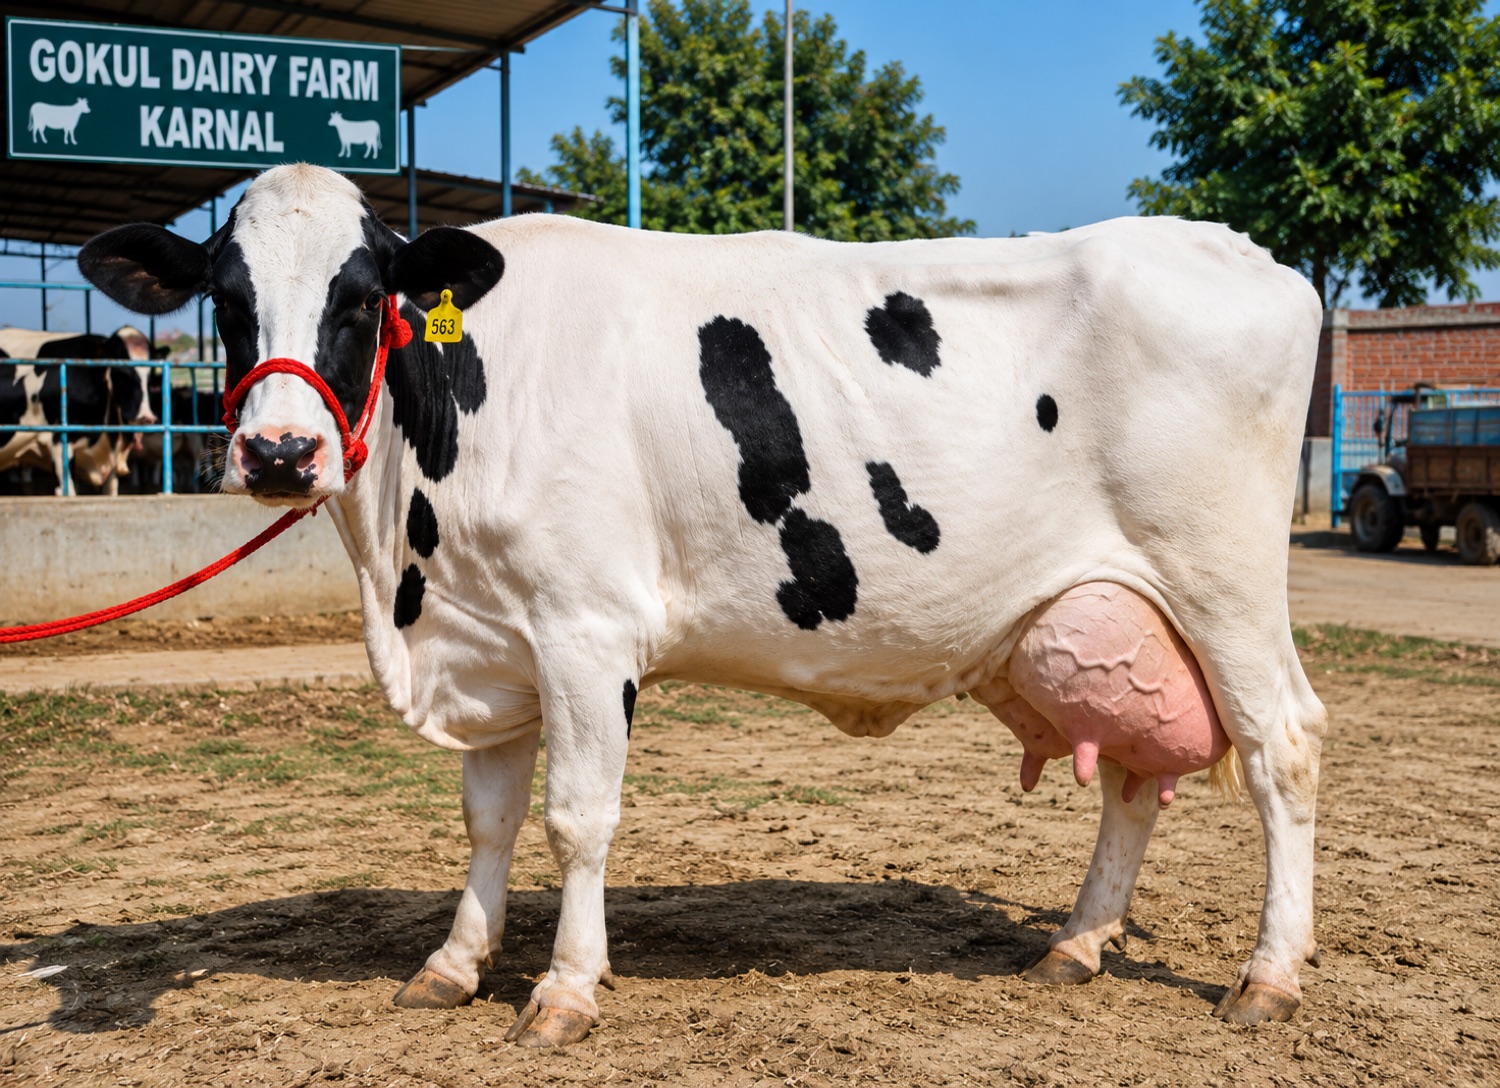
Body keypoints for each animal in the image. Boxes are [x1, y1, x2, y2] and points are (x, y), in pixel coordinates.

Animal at [78, 163, 1328, 1047]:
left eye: (359, 295)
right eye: (226, 298)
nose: (280, 452)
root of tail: (1244, 253)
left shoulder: (585, 630)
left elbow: (576, 817)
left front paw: (565, 988)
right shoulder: (494, 639)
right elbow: (488, 820)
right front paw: (453, 963)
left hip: (1221, 580)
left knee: (1284, 746)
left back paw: (1268, 976)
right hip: (1109, 609)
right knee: (1132, 777)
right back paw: (1077, 942)